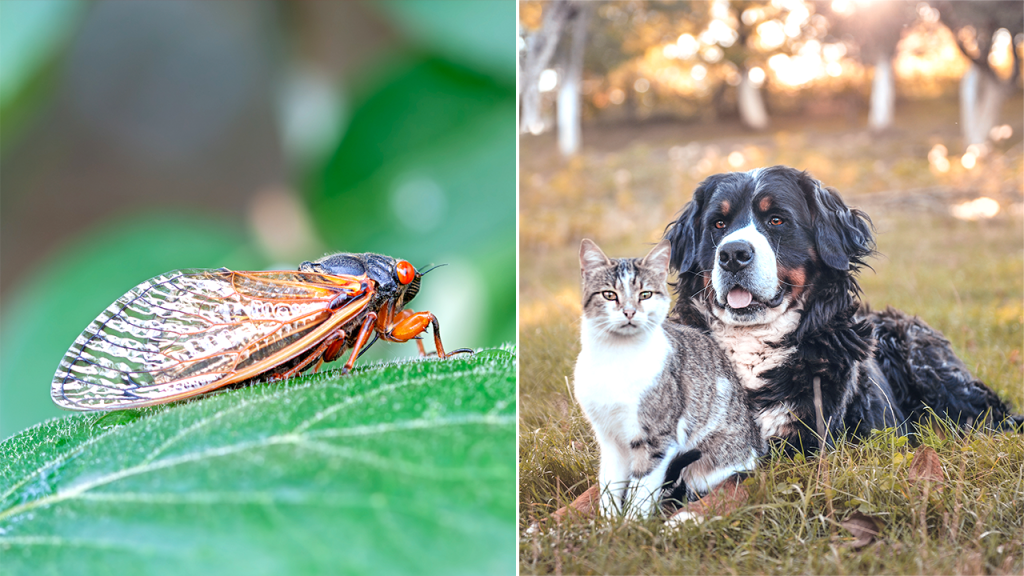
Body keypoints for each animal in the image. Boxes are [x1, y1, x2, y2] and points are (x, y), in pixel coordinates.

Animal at [573, 237, 765, 516]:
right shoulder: (609, 438)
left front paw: (630, 524)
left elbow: (641, 491)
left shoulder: (657, 439)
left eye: (645, 294)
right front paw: (609, 522)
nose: (629, 312)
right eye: (609, 294)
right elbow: (609, 487)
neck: (615, 357)